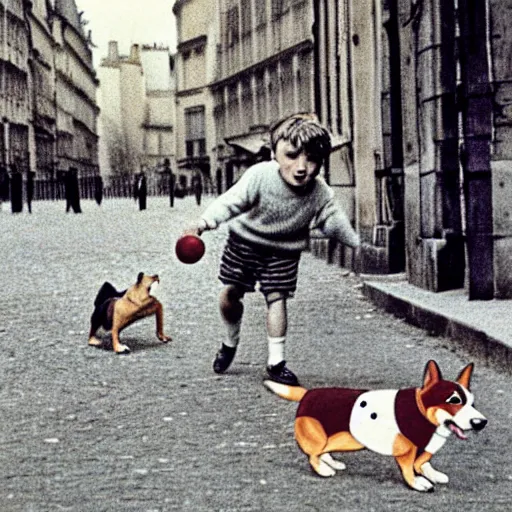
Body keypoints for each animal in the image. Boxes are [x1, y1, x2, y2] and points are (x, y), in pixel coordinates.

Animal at [266, 360, 486, 492]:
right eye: (454, 400)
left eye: (472, 403)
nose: (481, 423)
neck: (424, 412)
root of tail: (307, 393)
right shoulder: (406, 453)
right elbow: (410, 470)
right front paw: (418, 483)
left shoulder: (424, 450)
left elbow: (424, 463)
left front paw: (433, 475)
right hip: (320, 436)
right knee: (313, 455)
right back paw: (324, 470)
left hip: (341, 439)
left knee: (323, 451)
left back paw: (332, 463)